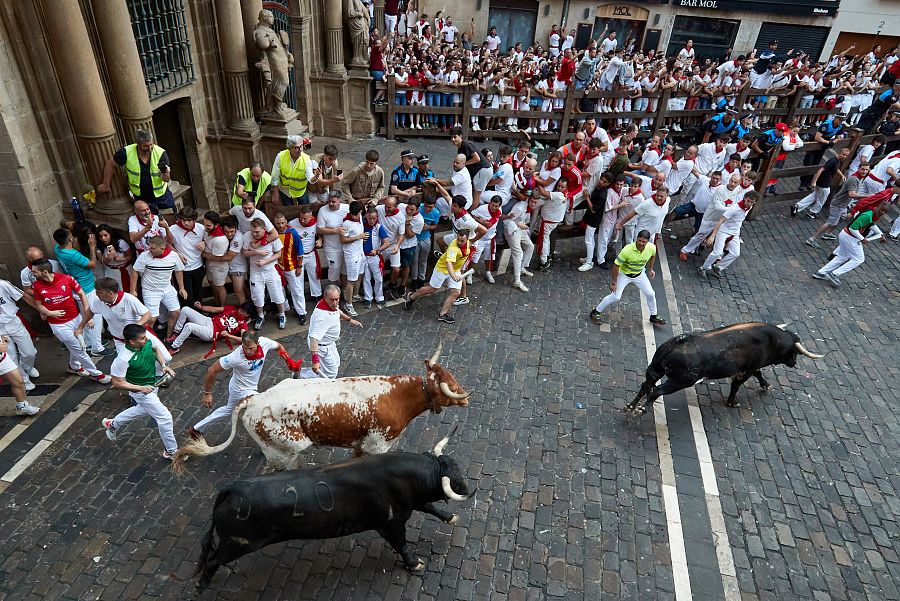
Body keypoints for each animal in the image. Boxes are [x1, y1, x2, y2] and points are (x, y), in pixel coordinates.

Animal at [172, 344, 468, 472]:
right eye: (448, 384)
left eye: (451, 375)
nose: (464, 397)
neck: (397, 396)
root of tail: (254, 400)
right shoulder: (378, 446)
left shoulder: (360, 445)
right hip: (285, 451)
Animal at [195, 450, 472, 584]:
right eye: (455, 477)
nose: (468, 488)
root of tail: (232, 489)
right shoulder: (391, 524)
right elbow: (402, 545)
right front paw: (415, 564)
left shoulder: (410, 503)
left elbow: (429, 506)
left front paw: (450, 517)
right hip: (238, 543)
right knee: (212, 560)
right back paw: (202, 585)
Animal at [624, 322, 824, 414]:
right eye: (794, 352)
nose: (794, 363)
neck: (770, 339)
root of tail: (680, 340)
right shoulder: (747, 370)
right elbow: (737, 384)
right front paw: (732, 402)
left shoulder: (752, 367)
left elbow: (759, 374)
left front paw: (765, 385)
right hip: (679, 381)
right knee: (656, 391)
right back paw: (642, 409)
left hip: (656, 369)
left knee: (646, 385)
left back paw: (630, 407)